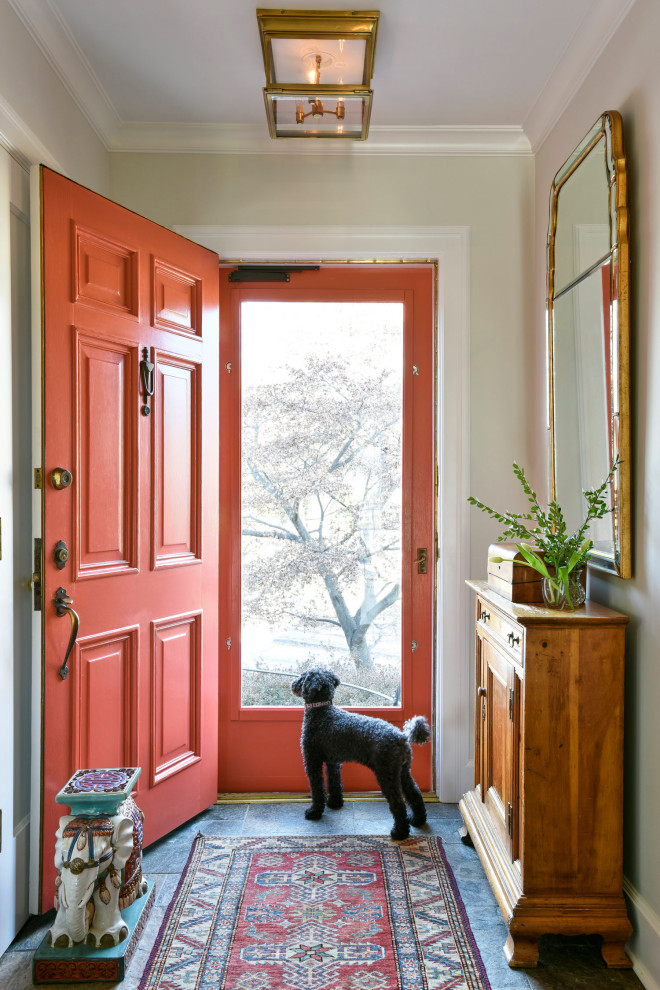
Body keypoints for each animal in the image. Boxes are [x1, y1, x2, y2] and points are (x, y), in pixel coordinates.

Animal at [292, 672, 430, 840]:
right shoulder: (333, 762)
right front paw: (335, 803)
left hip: (386, 775)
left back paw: (399, 832)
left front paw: (314, 812)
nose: (293, 684)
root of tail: (401, 736)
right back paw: (417, 820)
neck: (323, 713)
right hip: (403, 772)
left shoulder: (312, 761)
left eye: (302, 677)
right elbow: (334, 782)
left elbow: (317, 789)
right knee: (414, 794)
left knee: (398, 803)